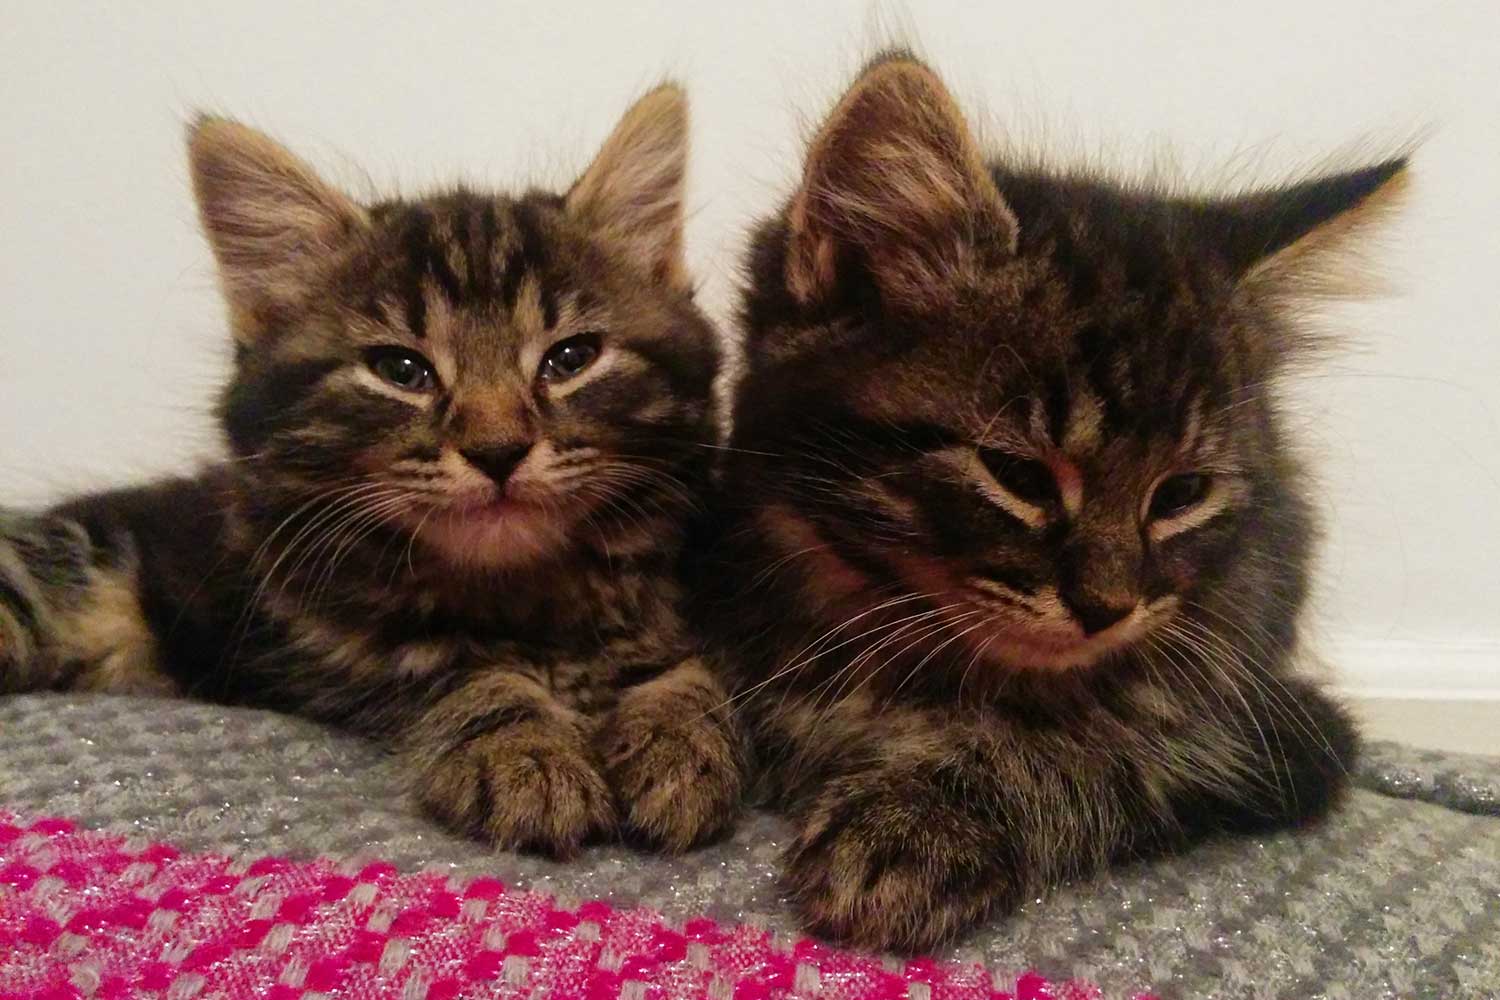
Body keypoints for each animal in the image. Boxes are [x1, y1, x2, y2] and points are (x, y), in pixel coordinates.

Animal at [0, 88, 747, 863]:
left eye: (571, 358)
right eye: (401, 370)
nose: (498, 450)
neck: (525, 596)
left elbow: (691, 671)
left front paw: (680, 741)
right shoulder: (328, 644)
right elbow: (466, 676)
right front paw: (526, 752)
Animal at [696, 56, 1410, 953]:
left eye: (1182, 493)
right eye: (1019, 475)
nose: (1108, 607)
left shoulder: (1278, 727)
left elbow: (1097, 749)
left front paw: (918, 826)